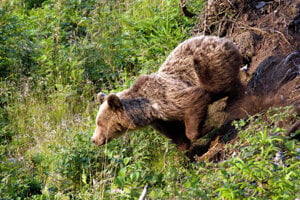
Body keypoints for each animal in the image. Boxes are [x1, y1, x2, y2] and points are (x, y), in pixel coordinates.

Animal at [91, 35, 244, 150]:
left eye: (100, 123)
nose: (94, 139)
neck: (148, 110)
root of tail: (223, 39)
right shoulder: (162, 120)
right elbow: (174, 132)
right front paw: (184, 146)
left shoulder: (168, 98)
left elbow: (194, 100)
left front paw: (205, 128)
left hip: (207, 63)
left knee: (221, 83)